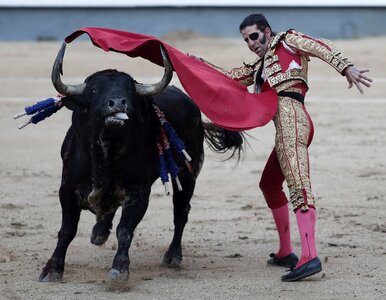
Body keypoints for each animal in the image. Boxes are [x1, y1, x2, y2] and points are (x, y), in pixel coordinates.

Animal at [39, 42, 244, 284]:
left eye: (130, 90)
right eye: (94, 90)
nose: (118, 103)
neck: (107, 153)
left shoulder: (138, 194)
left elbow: (125, 230)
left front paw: (119, 269)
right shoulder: (67, 189)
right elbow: (67, 230)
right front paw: (52, 269)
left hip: (188, 174)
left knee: (180, 213)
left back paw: (172, 256)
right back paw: (99, 233)